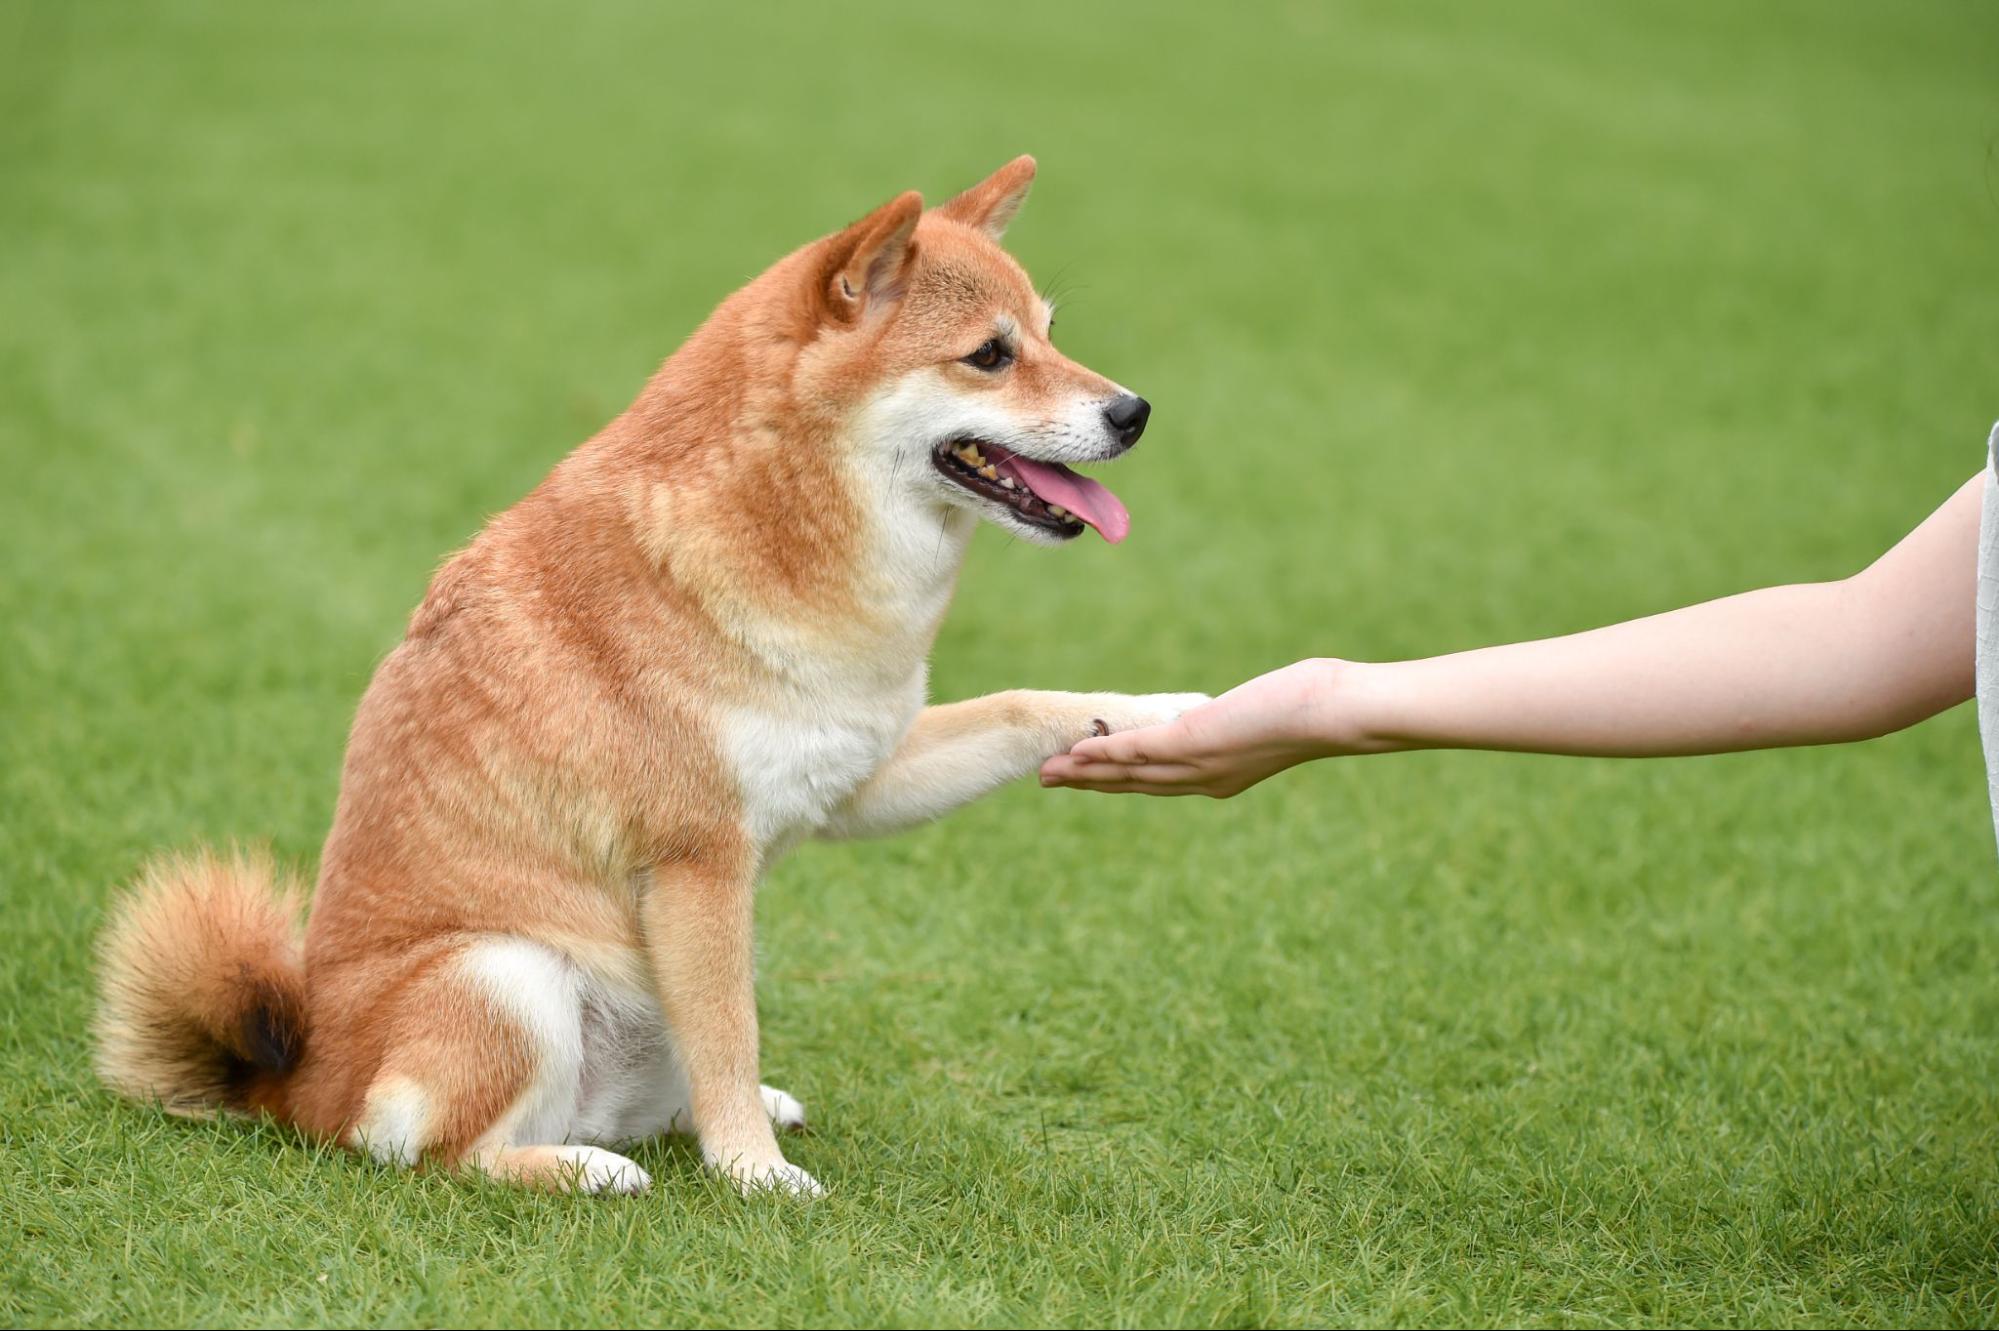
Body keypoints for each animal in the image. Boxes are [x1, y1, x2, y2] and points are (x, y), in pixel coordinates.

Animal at [93, 160, 1199, 1199]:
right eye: (990, 355)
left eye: (1050, 334)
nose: (1135, 411)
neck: (786, 530)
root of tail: (291, 1084)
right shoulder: (696, 861)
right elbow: (729, 1037)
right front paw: (755, 1177)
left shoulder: (854, 772)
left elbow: (1019, 705)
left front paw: (1151, 711)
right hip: (506, 972)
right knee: (429, 1150)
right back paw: (585, 1168)